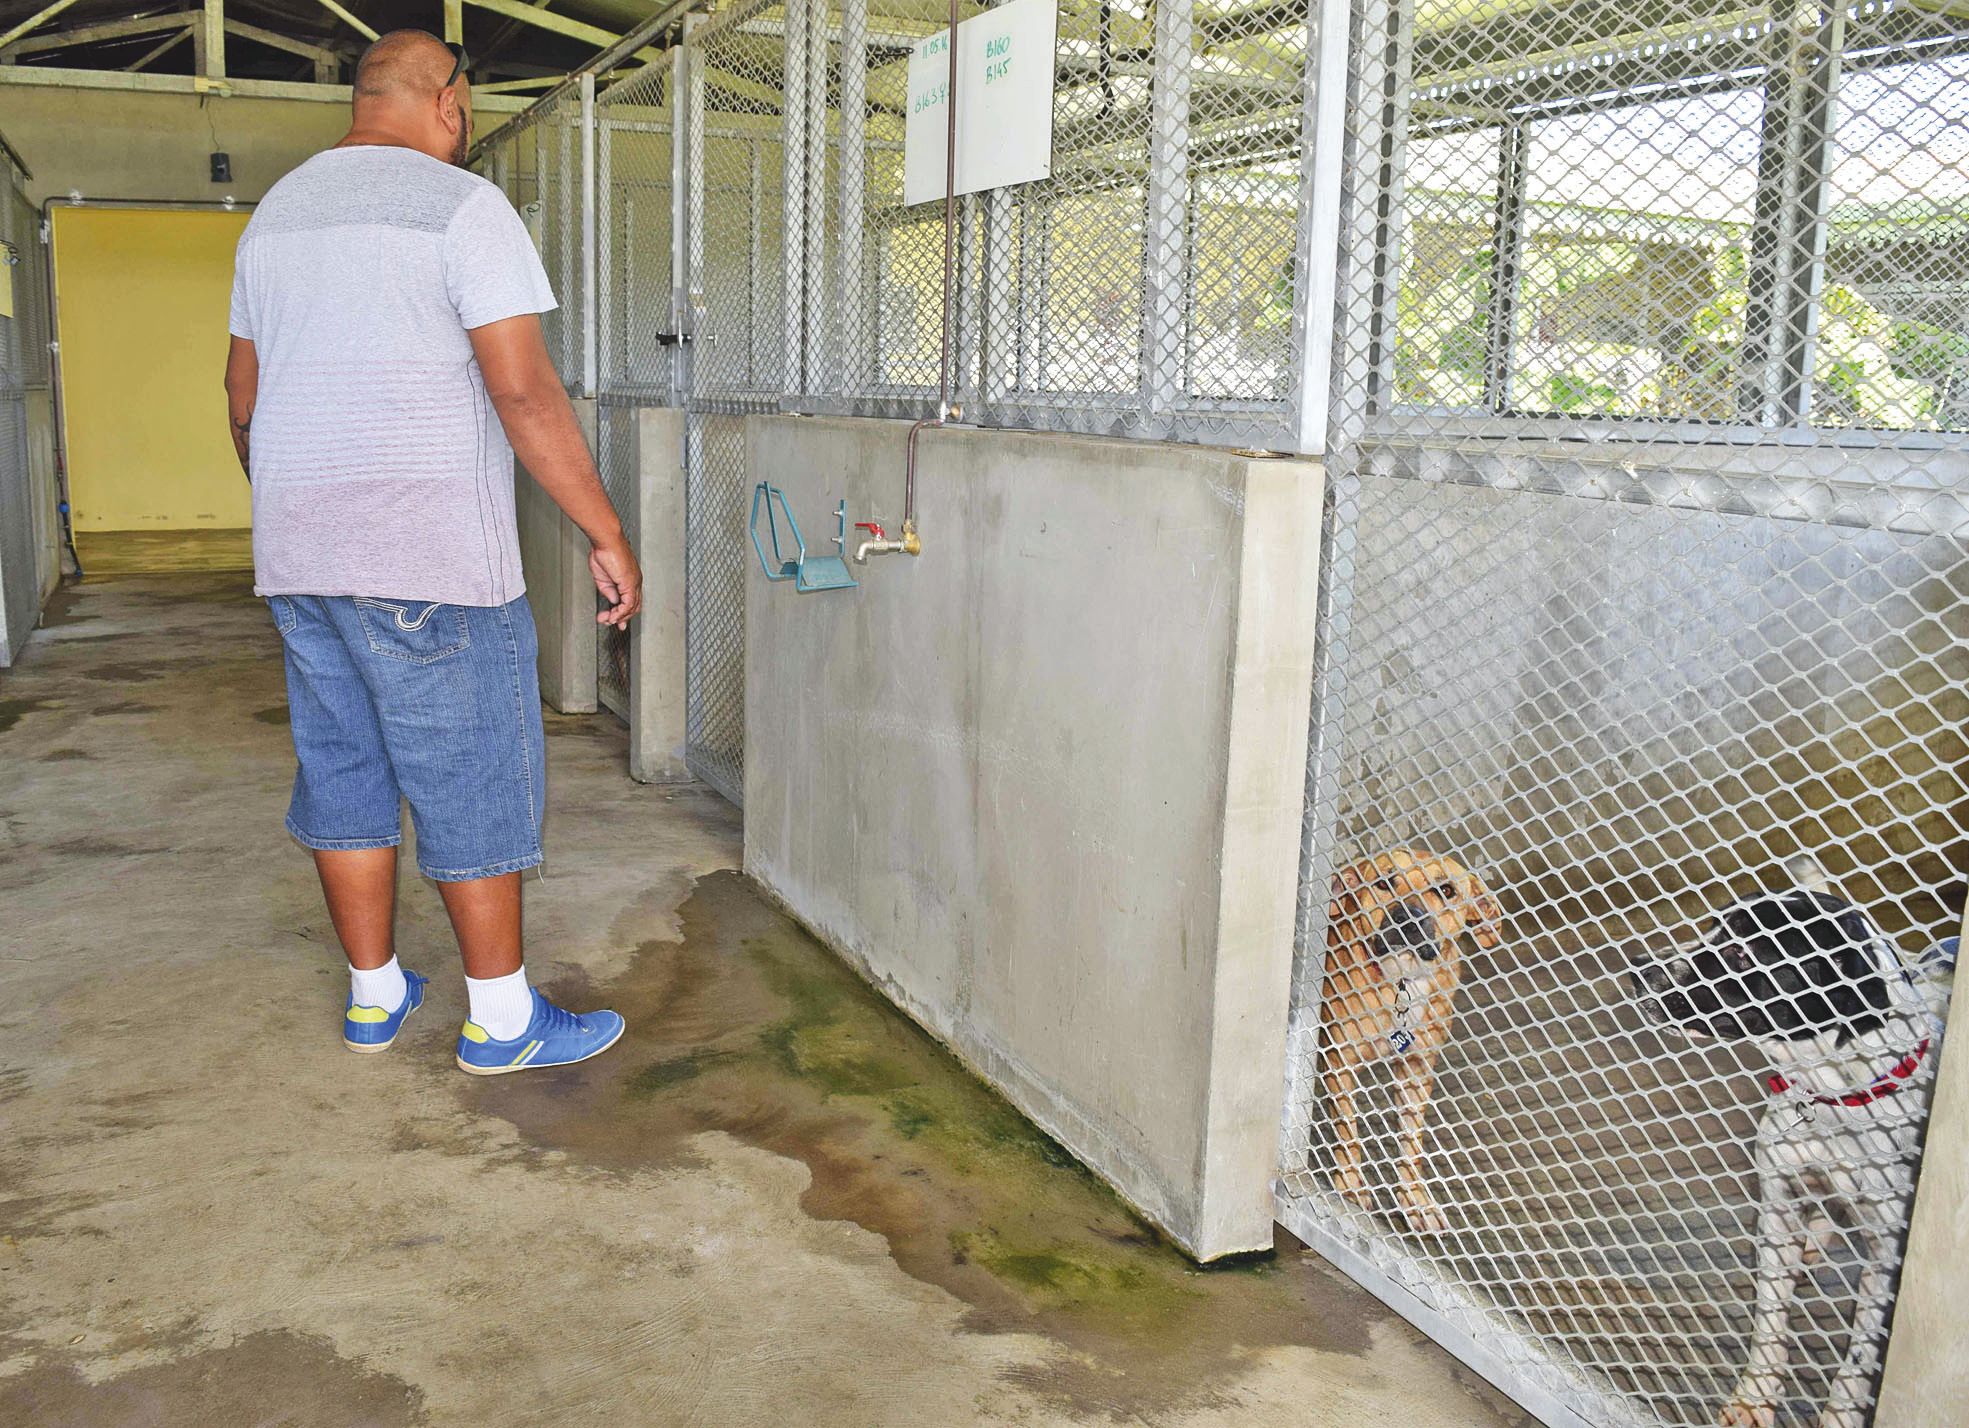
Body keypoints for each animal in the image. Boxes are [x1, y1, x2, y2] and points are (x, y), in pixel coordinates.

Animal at [1323, 850, 1504, 1229]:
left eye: (1446, 889)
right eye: (1384, 881)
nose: (1409, 916)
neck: (1402, 982)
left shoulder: (1418, 1070)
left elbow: (1412, 1141)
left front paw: (1414, 1199)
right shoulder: (1340, 1059)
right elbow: (1349, 1131)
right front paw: (1350, 1184)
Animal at [1630, 858, 1953, 1426]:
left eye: (1742, 952)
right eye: (1714, 926)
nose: (1639, 968)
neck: (1831, 1099)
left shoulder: (1889, 1257)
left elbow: (1861, 1353)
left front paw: (1842, 1415)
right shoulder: (1779, 1203)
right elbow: (1769, 1319)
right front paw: (1754, 1396)